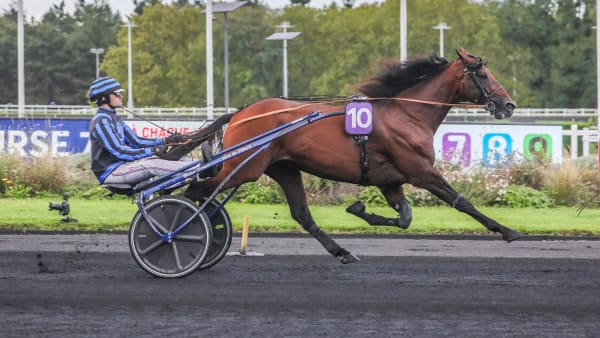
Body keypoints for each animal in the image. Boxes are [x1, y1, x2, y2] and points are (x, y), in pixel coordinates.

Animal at [182, 48, 520, 264]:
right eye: (483, 74)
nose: (509, 105)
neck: (407, 114)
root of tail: (242, 112)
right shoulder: (421, 171)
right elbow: (462, 202)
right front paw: (508, 231)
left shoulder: (390, 181)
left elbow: (405, 218)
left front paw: (358, 209)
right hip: (244, 167)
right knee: (196, 191)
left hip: (284, 168)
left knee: (301, 214)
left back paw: (343, 252)